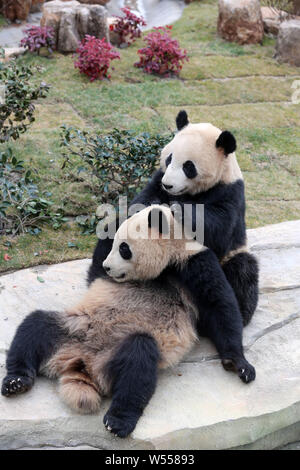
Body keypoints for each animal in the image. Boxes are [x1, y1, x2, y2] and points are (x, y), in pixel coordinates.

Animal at [0, 205, 255, 436]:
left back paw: (117, 421)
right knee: (35, 326)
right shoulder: (105, 278)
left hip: (113, 353)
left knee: (138, 363)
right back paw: (16, 381)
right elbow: (94, 274)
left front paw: (238, 363)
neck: (167, 265)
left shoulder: (195, 262)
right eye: (114, 245)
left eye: (124, 248)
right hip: (74, 329)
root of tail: (81, 364)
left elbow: (220, 307)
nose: (108, 266)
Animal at [88, 112, 258, 328]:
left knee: (242, 271)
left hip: (233, 254)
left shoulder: (230, 191)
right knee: (112, 231)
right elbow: (141, 200)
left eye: (188, 166)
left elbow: (220, 228)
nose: (168, 185)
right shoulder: (157, 179)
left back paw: (242, 314)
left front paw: (178, 210)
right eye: (169, 159)